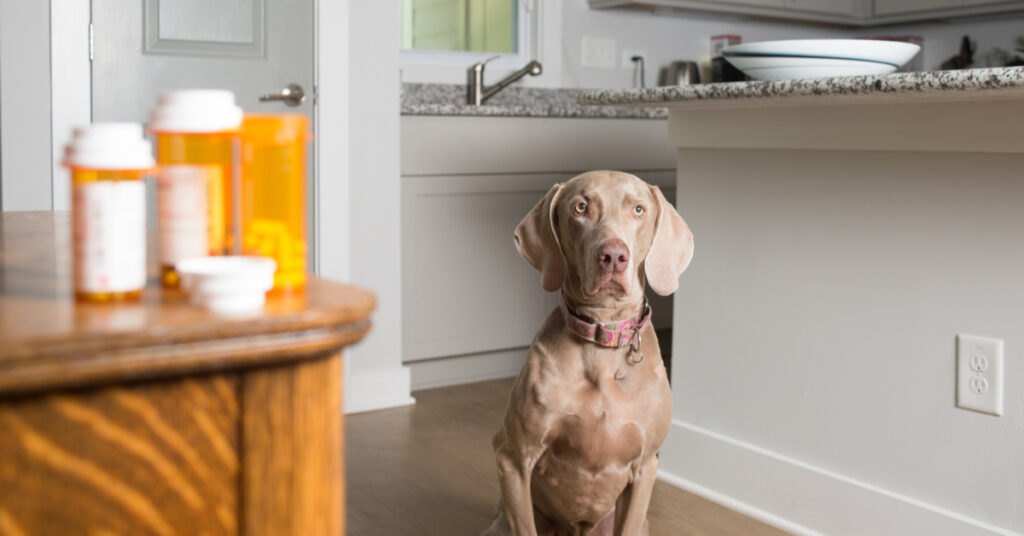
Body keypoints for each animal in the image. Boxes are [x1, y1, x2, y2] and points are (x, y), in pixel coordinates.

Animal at [481, 172, 692, 536]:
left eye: (638, 209)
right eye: (581, 207)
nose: (613, 255)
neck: (602, 343)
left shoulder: (645, 468)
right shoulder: (513, 457)